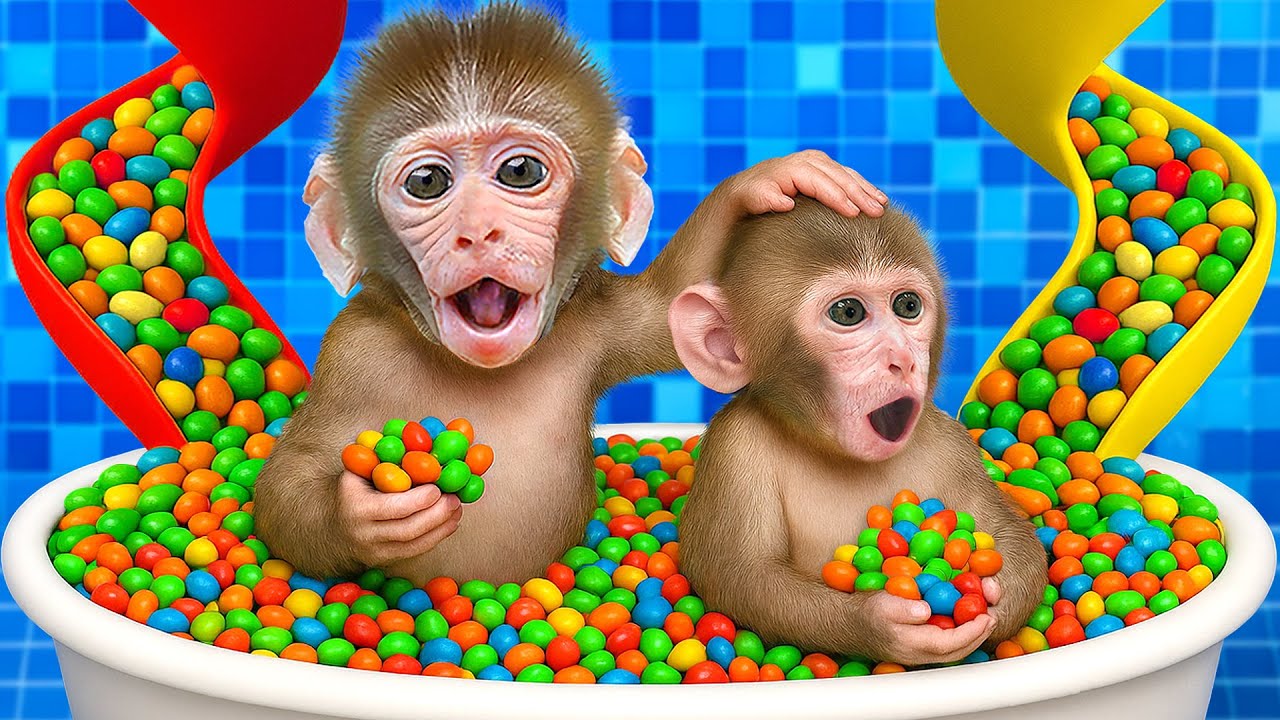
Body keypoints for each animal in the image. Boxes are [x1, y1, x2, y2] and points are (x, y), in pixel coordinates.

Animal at [252, 4, 889, 586]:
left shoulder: (593, 320)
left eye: (520, 172)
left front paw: (766, 180)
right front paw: (360, 515)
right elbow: (292, 475)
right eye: (428, 182)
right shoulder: (354, 349)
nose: (478, 231)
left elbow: (664, 311)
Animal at [669, 198, 1047, 667]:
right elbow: (741, 575)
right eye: (848, 313)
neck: (834, 450)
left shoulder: (952, 443)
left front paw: (994, 600)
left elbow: (1004, 529)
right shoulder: (734, 449)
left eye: (908, 305)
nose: (902, 359)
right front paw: (880, 623)